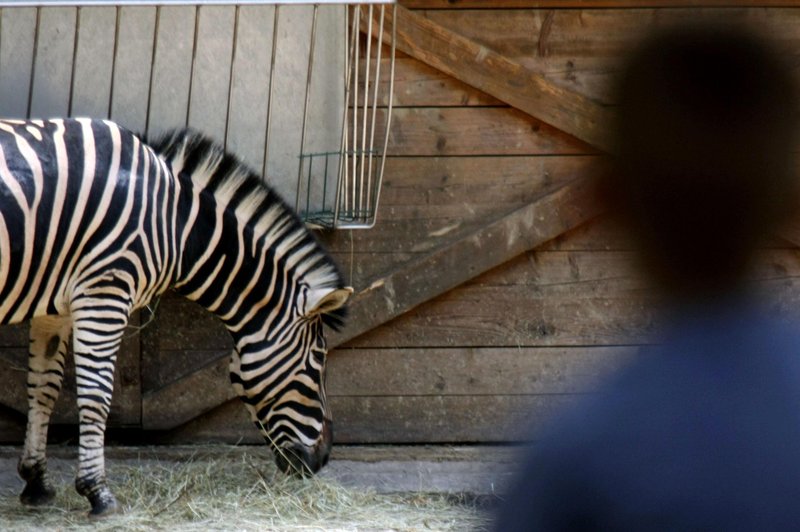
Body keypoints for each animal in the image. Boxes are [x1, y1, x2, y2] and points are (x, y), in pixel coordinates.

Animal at [0, 118, 352, 516]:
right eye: (319, 360)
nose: (323, 459)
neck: (175, 224)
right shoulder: (105, 291)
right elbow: (96, 395)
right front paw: (97, 492)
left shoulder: (55, 306)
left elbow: (43, 388)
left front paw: (36, 483)